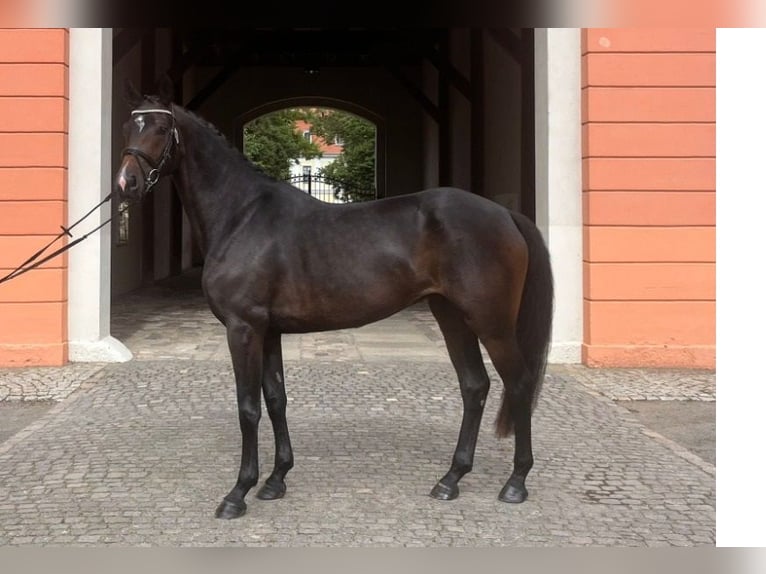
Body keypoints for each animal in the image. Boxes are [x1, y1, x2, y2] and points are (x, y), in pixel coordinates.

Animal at [115, 82, 552, 520]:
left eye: (159, 128)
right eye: (129, 126)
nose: (126, 183)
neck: (241, 216)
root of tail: (505, 215)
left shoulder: (244, 329)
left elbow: (248, 407)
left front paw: (237, 493)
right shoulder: (268, 331)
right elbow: (276, 399)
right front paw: (276, 480)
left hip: (491, 323)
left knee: (518, 383)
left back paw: (515, 483)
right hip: (452, 316)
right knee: (474, 386)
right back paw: (450, 480)